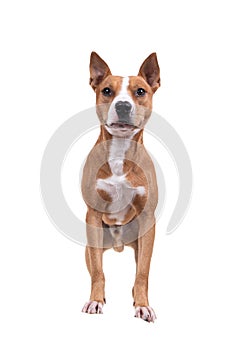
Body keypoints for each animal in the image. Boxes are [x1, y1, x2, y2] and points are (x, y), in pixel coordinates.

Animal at [81, 50, 159, 322]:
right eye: (106, 90)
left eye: (140, 91)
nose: (123, 105)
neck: (119, 153)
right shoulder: (93, 216)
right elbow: (98, 272)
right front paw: (95, 300)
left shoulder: (147, 220)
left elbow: (143, 274)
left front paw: (143, 305)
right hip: (91, 243)